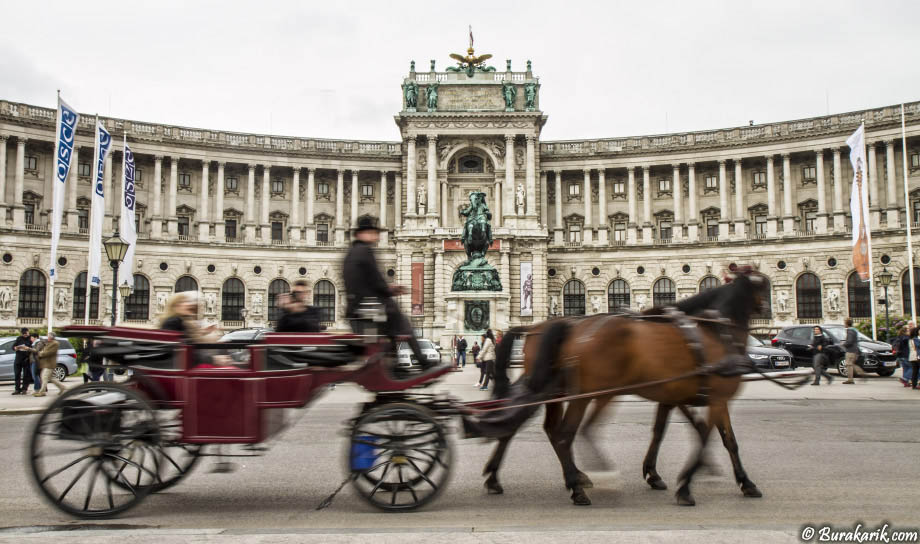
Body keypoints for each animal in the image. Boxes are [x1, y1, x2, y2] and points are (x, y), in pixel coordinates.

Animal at [470, 268, 772, 506]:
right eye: (763, 287)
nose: (766, 312)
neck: (707, 332)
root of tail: (536, 328)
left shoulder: (674, 394)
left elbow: (669, 430)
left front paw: (659, 474)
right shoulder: (712, 396)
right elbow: (720, 437)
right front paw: (710, 481)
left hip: (556, 390)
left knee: (537, 427)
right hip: (576, 392)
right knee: (559, 431)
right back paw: (578, 483)